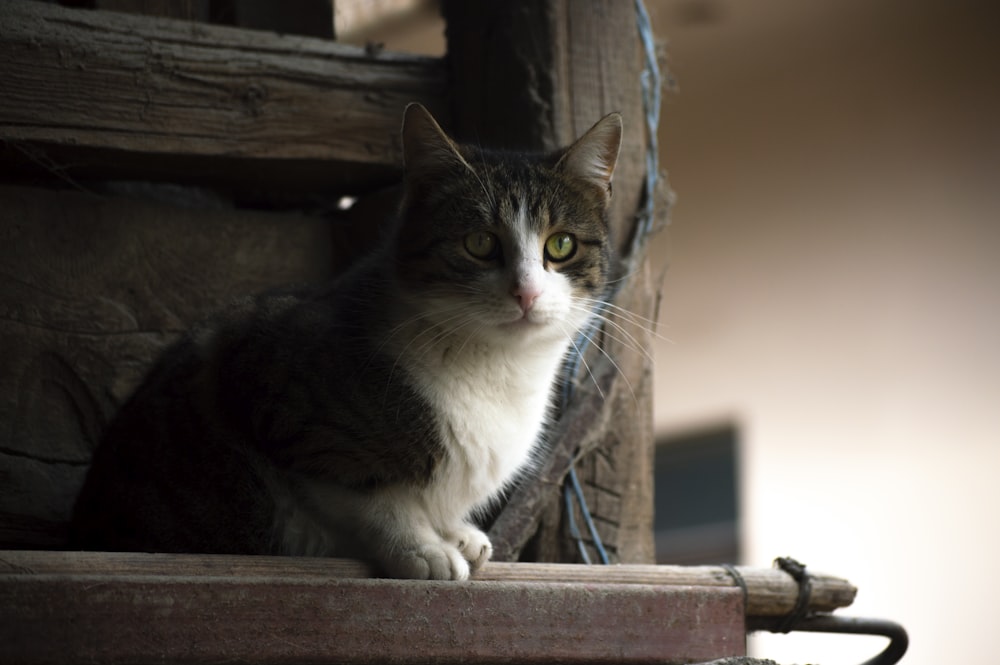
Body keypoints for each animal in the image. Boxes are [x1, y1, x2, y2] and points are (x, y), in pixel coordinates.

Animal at [70, 104, 620, 580]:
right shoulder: (282, 406)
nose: (526, 292)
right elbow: (366, 497)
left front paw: (458, 534)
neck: (497, 369)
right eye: (480, 243)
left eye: (561, 245)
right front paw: (423, 548)